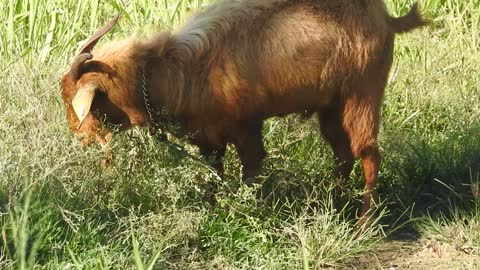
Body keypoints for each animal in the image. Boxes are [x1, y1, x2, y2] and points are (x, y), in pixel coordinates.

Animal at [61, 0, 428, 225]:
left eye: (77, 103)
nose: (76, 138)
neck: (177, 68)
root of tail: (385, 18)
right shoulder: (209, 137)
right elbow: (213, 174)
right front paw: (211, 211)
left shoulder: (247, 128)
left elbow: (251, 172)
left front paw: (251, 211)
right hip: (331, 107)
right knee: (343, 154)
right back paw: (335, 207)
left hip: (362, 95)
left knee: (369, 153)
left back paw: (364, 223)